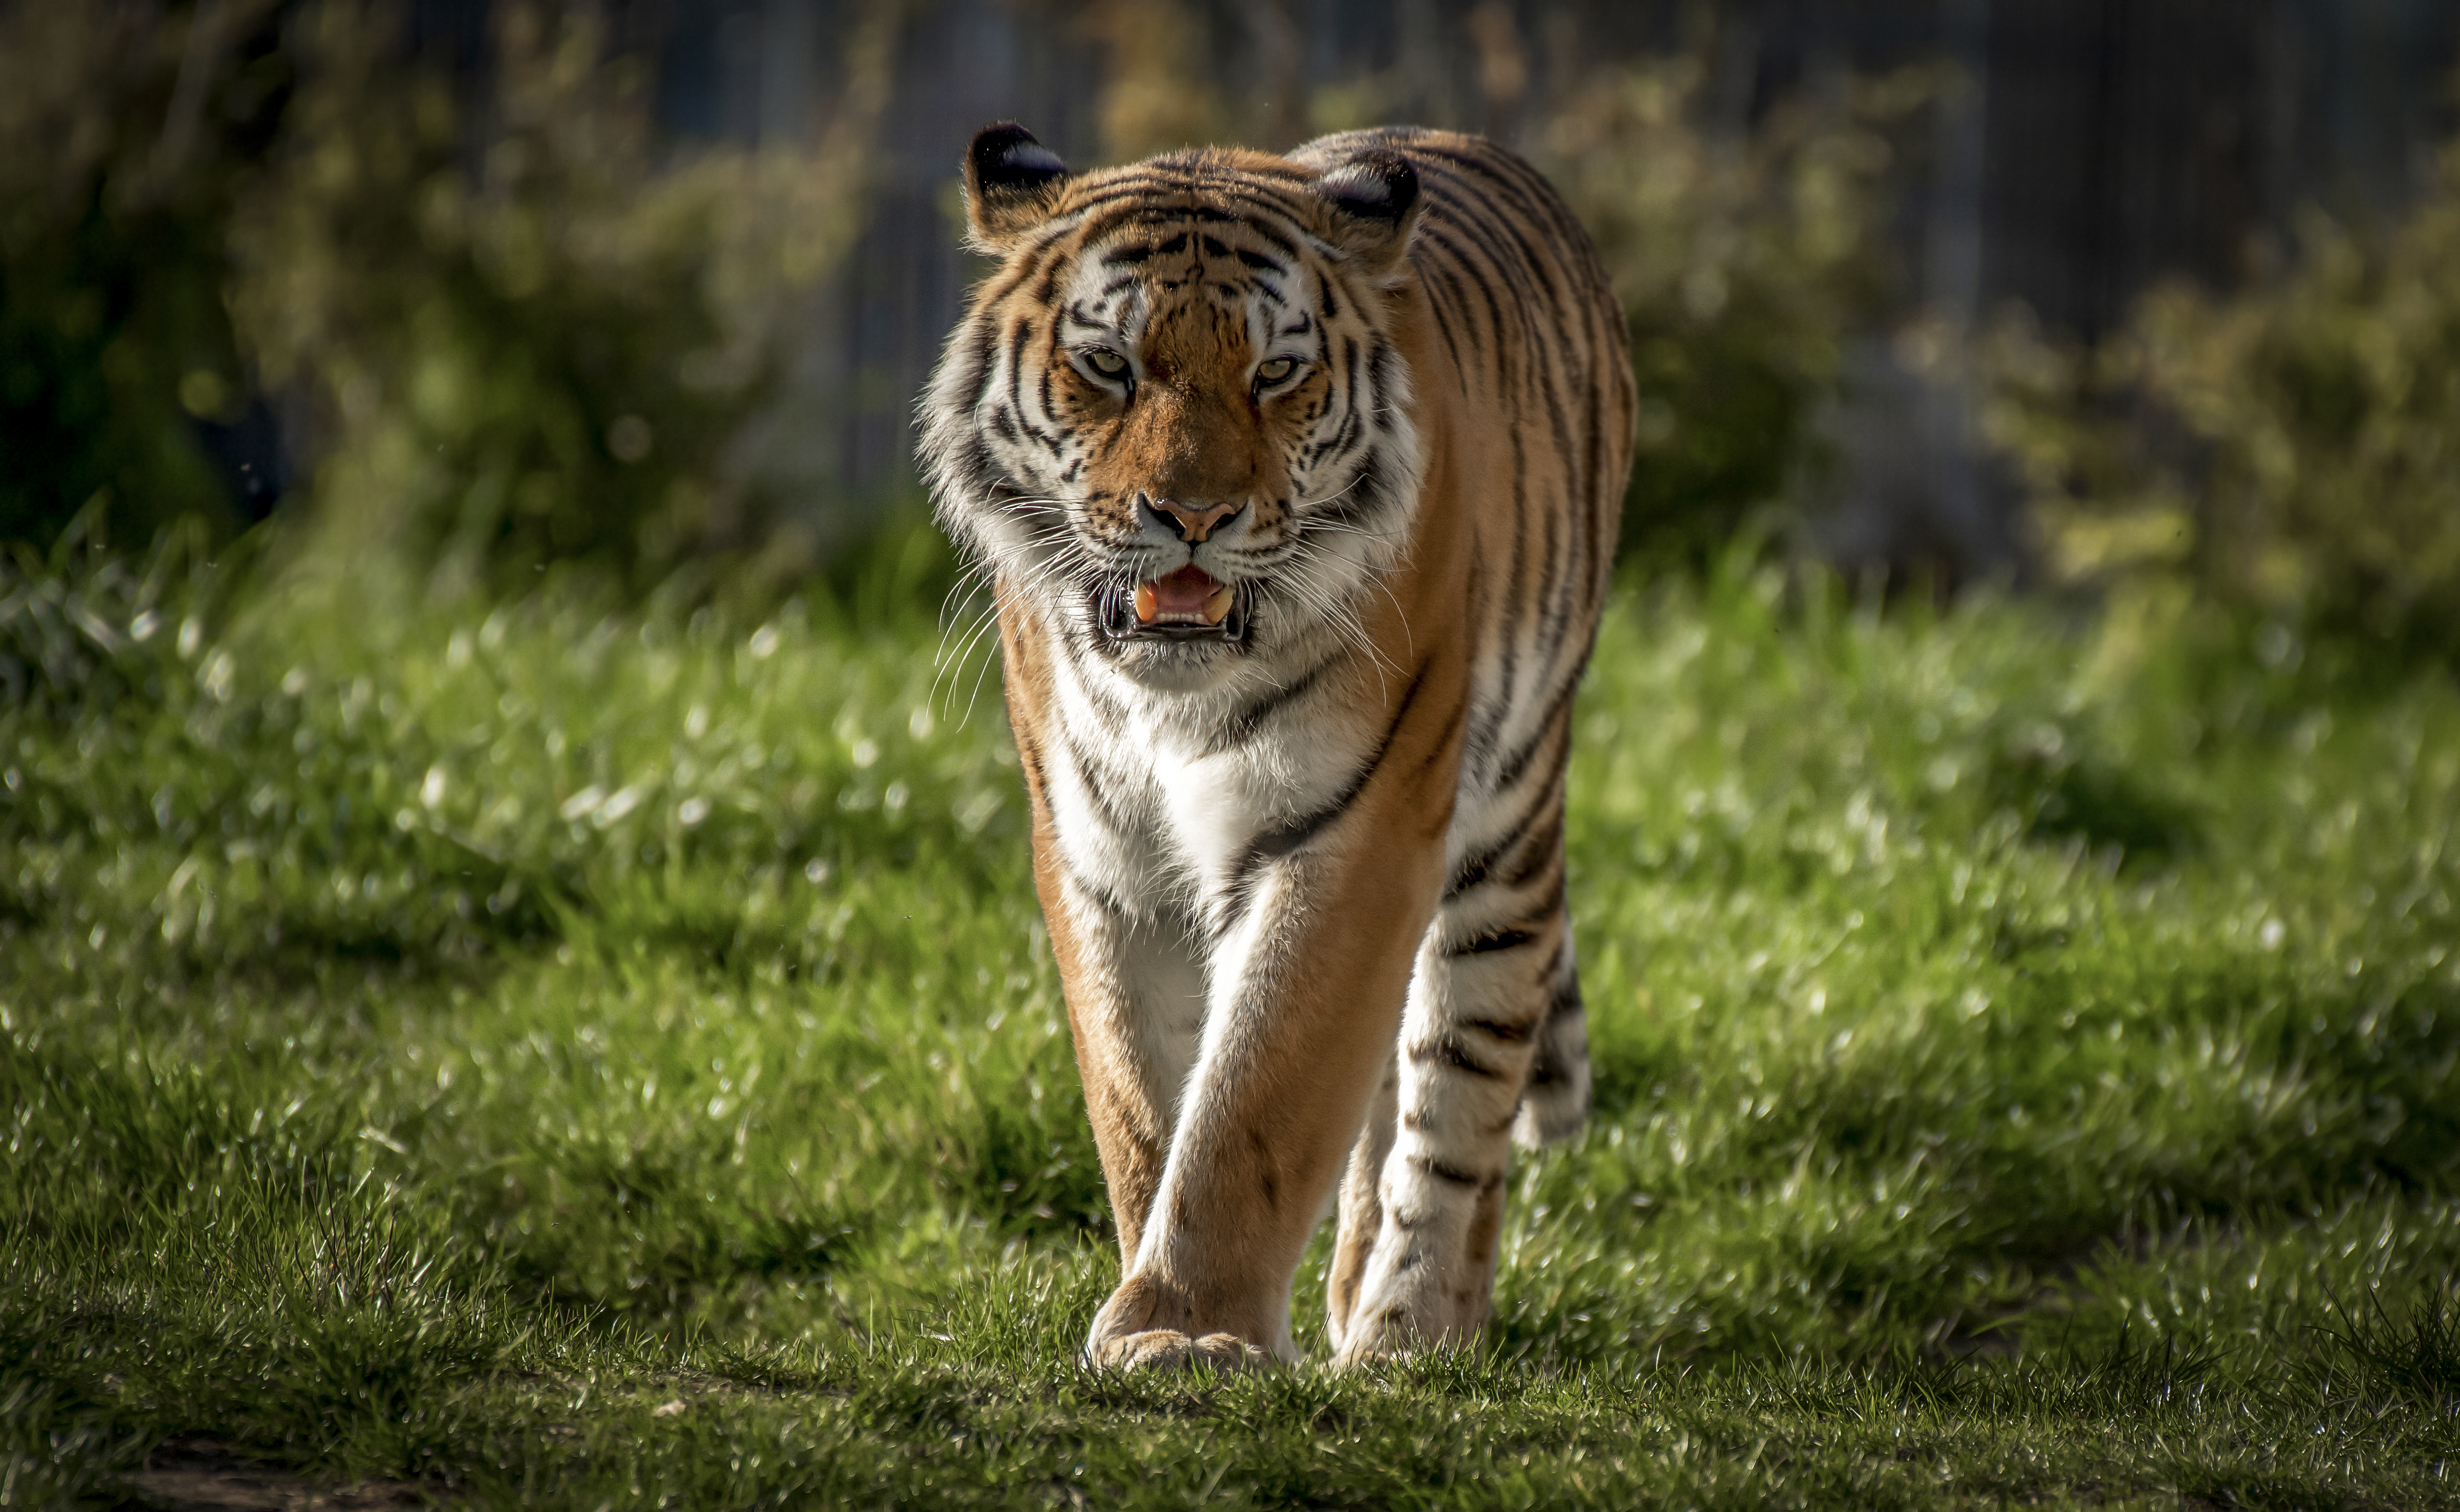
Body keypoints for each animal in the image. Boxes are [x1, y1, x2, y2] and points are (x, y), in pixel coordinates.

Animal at [925, 121, 1633, 1376]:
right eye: (1109, 365)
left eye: (1273, 374)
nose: (1191, 517)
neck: (1175, 699)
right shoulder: (1099, 854)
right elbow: (1143, 1097)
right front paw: (1159, 1307)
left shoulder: (1358, 826)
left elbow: (1261, 1089)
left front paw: (1187, 1327)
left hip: (1503, 831)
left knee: (1460, 1087)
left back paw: (1411, 1333)